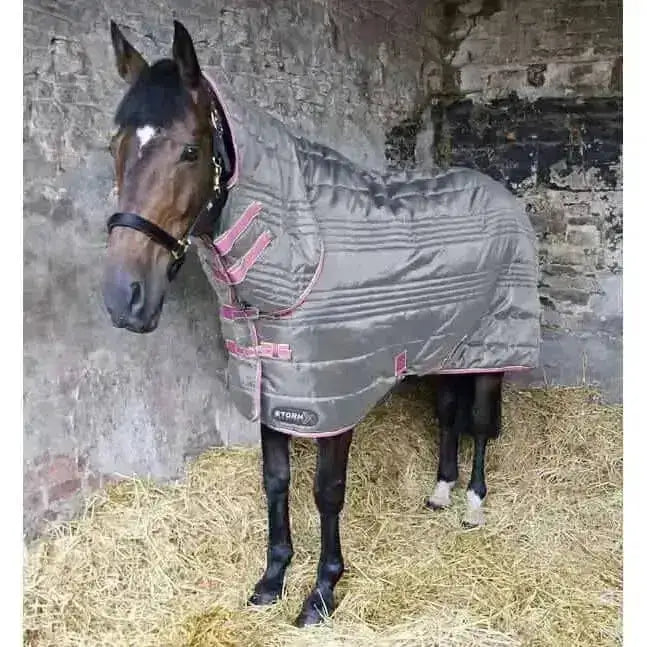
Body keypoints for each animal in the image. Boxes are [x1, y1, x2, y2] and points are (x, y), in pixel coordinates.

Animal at [102, 20, 539, 626]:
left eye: (190, 150)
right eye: (115, 147)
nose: (125, 298)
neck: (301, 252)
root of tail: (502, 194)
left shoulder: (331, 404)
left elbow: (326, 492)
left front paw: (322, 592)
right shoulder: (274, 392)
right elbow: (276, 483)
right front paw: (271, 580)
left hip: (492, 348)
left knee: (476, 420)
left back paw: (473, 503)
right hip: (446, 347)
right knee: (450, 415)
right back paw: (440, 491)